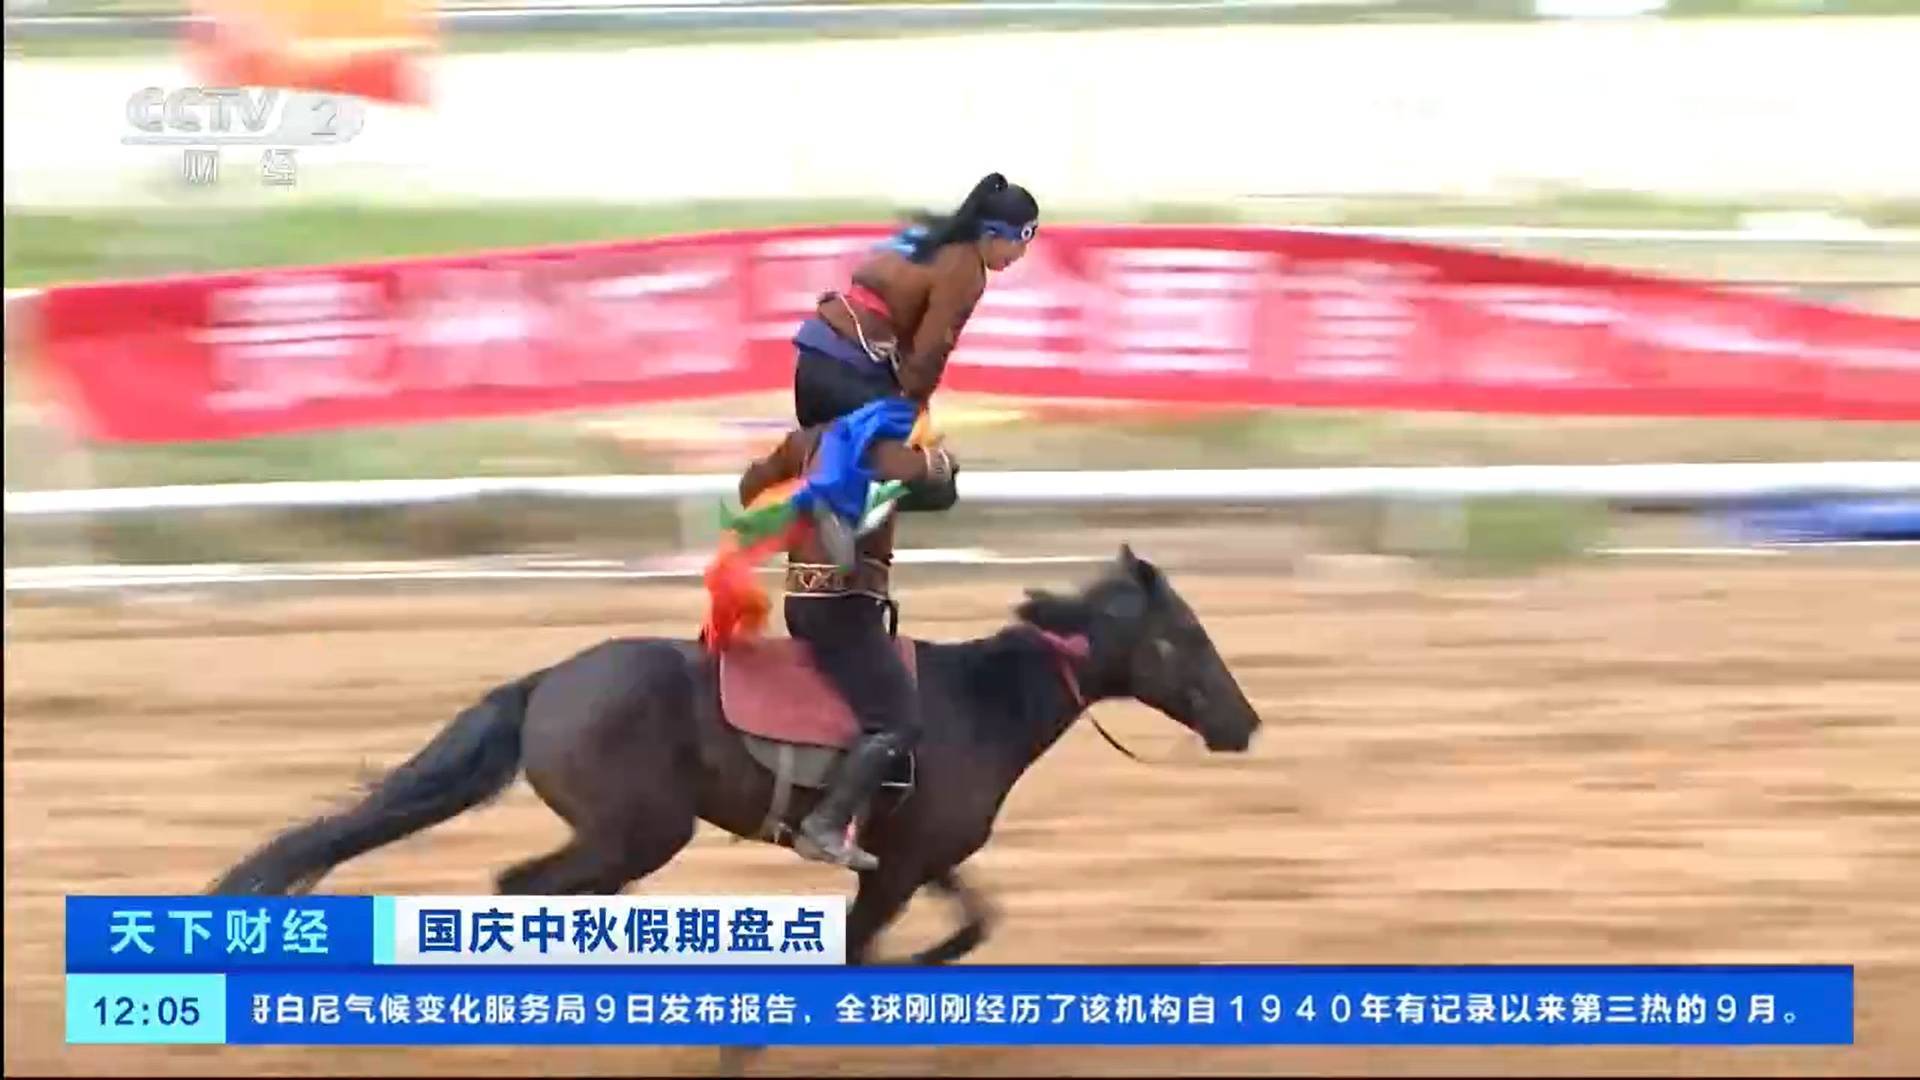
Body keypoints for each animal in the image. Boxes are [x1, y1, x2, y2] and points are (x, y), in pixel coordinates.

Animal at [208, 544, 1264, 969]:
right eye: (1186, 638)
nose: (1245, 723)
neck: (979, 702)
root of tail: (550, 681)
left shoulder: (922, 852)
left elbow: (973, 923)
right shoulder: (891, 867)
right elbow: (863, 946)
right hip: (634, 833)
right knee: (524, 887)